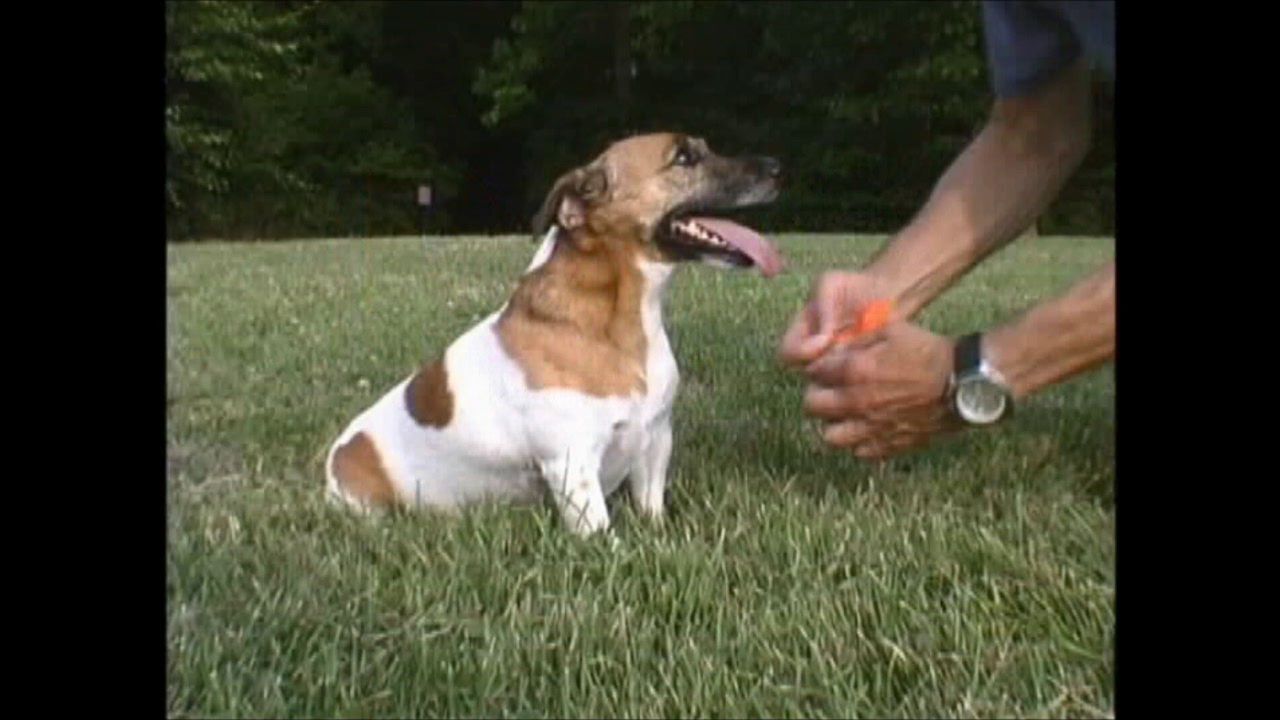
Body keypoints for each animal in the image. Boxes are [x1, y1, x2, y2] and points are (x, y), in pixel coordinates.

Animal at [322, 133, 778, 532]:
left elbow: (652, 509)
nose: (777, 166)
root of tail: (336, 457)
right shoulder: (571, 464)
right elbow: (602, 536)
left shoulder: (655, 440)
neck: (616, 324)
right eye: (684, 157)